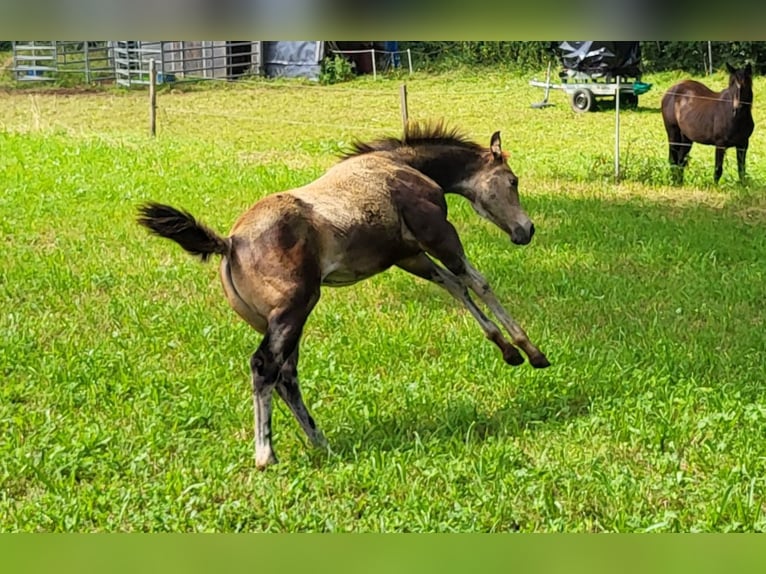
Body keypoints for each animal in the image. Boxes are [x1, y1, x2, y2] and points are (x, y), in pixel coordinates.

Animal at [135, 121, 548, 468]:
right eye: (513, 180)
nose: (525, 230)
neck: (401, 166)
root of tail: (230, 243)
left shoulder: (409, 255)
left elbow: (455, 285)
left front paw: (507, 350)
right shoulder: (438, 235)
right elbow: (477, 282)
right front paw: (530, 350)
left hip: (277, 320)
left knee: (286, 375)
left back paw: (321, 442)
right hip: (293, 311)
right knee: (265, 367)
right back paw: (266, 453)